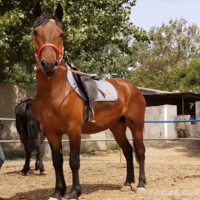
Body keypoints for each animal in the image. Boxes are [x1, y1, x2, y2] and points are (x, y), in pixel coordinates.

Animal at [32, 1, 146, 200]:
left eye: (61, 34)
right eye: (36, 32)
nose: (49, 65)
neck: (55, 94)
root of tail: (132, 88)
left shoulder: (74, 131)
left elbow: (74, 162)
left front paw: (74, 192)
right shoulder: (51, 133)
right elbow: (57, 161)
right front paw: (57, 192)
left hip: (136, 125)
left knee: (140, 152)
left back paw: (140, 185)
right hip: (117, 127)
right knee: (128, 151)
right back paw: (127, 184)